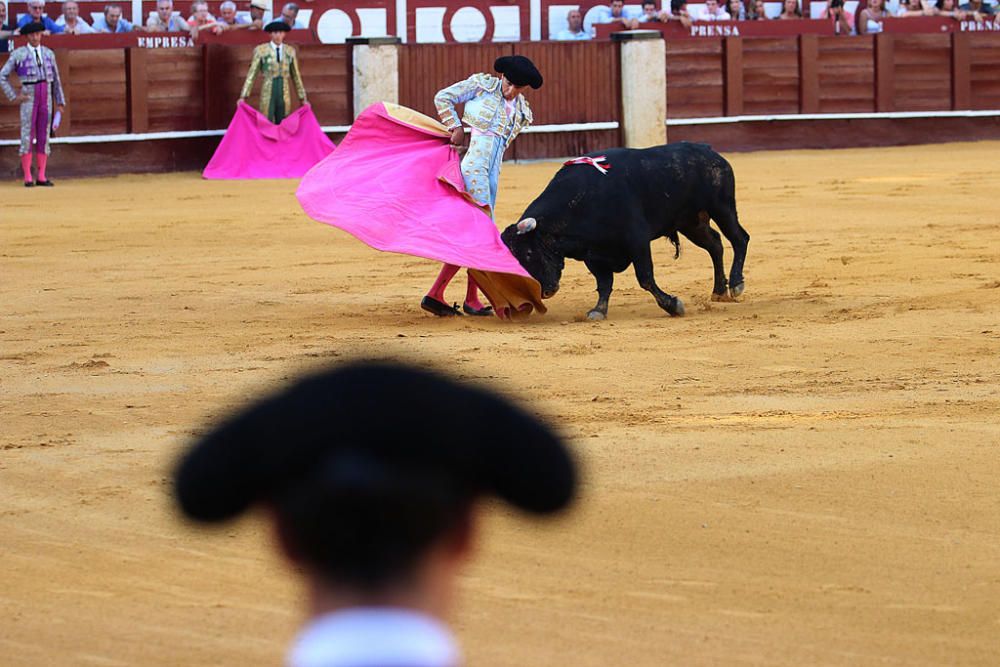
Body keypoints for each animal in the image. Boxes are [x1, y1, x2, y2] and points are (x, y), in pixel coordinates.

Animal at [500, 142, 752, 320]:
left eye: (529, 254)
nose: (544, 291)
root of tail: (708, 150)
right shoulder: (592, 254)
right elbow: (604, 283)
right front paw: (598, 311)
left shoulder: (637, 241)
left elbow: (645, 278)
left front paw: (673, 306)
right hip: (691, 223)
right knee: (715, 244)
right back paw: (719, 291)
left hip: (722, 207)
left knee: (739, 238)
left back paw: (736, 284)